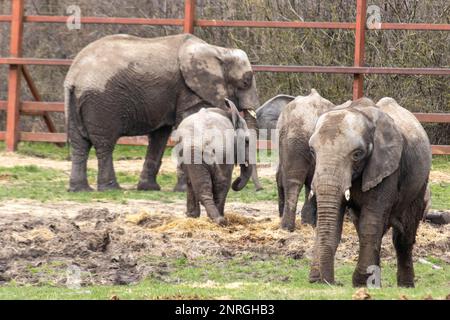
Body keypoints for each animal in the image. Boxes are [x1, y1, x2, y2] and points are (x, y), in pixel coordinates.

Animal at [65, 33, 258, 191]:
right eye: (246, 82)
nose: (238, 184)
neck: (218, 51)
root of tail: (73, 77)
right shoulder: (189, 90)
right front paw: (183, 189)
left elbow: (160, 136)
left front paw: (148, 188)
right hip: (102, 104)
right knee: (104, 144)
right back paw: (111, 188)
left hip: (77, 103)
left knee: (79, 144)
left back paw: (80, 190)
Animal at [308, 97, 430, 288]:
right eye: (312, 152)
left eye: (357, 154)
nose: (330, 283)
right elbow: (334, 223)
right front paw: (317, 280)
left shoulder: (386, 168)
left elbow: (370, 222)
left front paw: (360, 283)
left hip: (420, 182)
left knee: (404, 235)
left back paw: (405, 285)